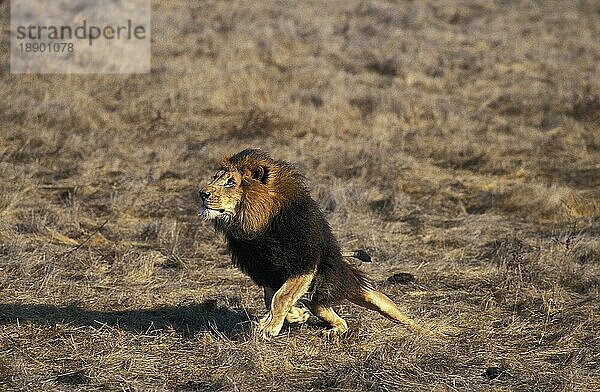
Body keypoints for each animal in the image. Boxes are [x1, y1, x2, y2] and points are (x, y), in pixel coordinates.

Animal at [199, 149, 420, 338]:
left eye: (230, 182)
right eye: (215, 178)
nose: (202, 194)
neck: (259, 225)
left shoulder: (304, 264)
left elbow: (281, 297)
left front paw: (270, 327)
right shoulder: (267, 273)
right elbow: (271, 299)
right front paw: (294, 316)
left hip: (358, 290)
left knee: (393, 310)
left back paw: (423, 330)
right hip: (319, 304)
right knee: (339, 320)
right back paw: (333, 330)